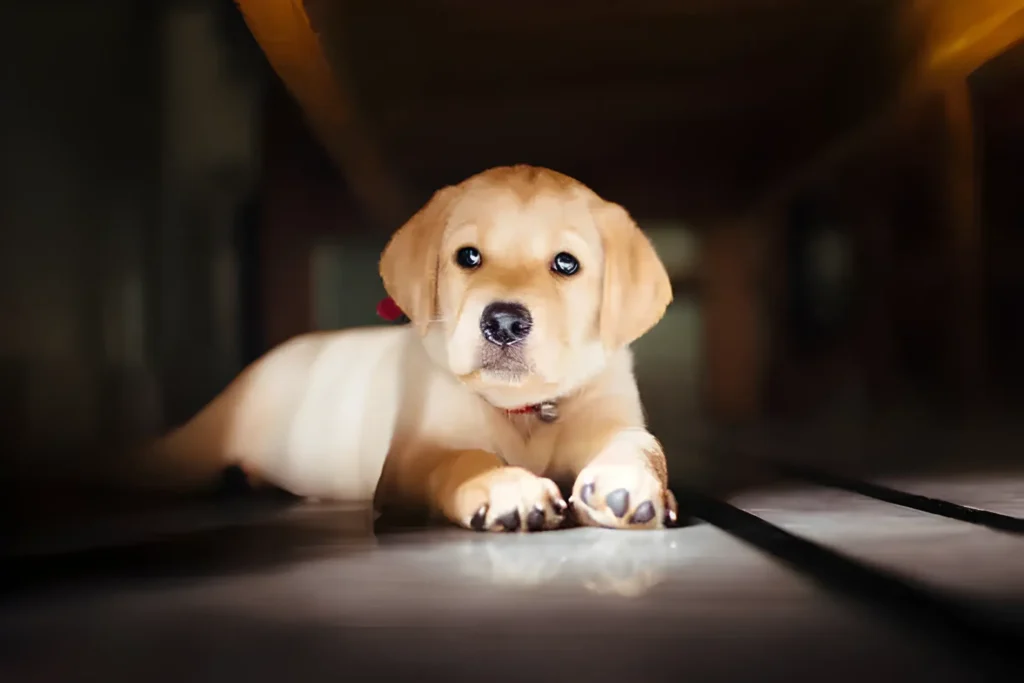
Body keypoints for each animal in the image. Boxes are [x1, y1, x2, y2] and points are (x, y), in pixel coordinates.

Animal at [140, 166, 675, 532]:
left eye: (566, 264)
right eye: (468, 257)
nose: (503, 322)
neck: (524, 413)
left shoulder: (614, 413)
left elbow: (641, 444)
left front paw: (627, 481)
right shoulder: (410, 458)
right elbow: (462, 458)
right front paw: (505, 486)